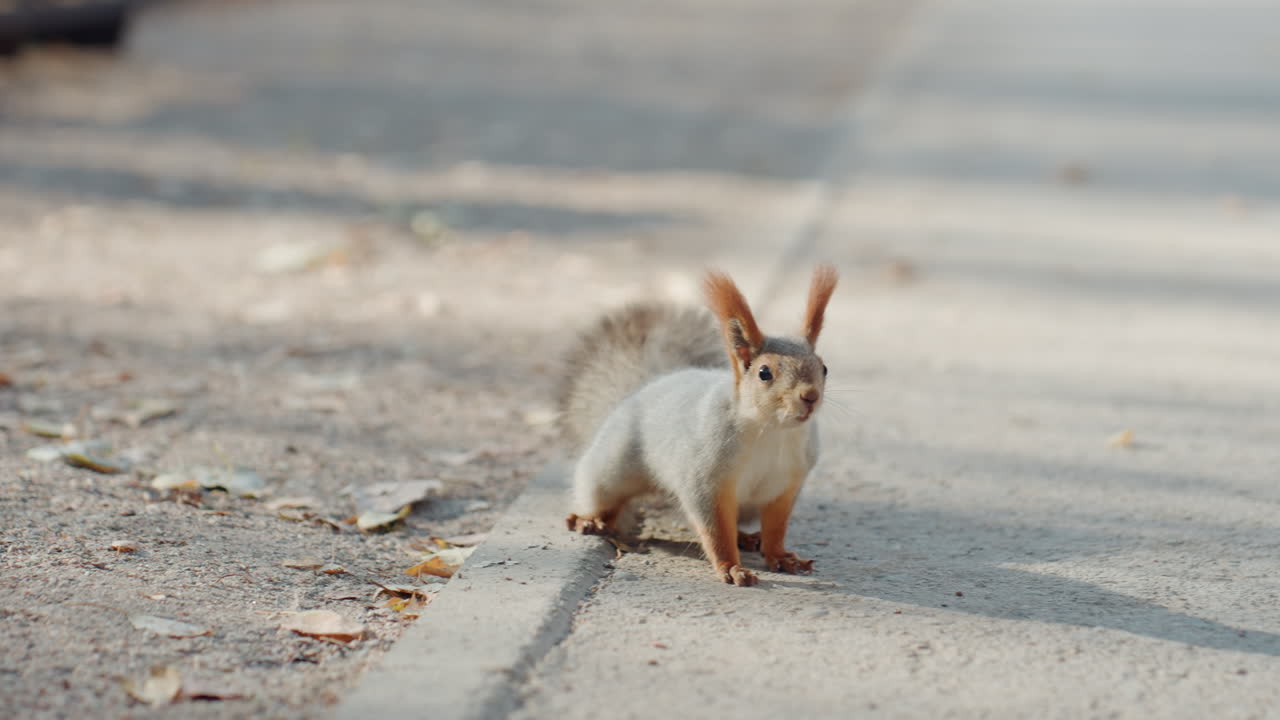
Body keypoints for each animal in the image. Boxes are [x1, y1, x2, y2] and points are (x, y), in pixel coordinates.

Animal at [556, 265, 838, 586]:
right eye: (764, 373)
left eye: (824, 368)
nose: (810, 396)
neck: (773, 431)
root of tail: (646, 387)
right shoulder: (705, 477)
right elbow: (715, 529)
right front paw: (731, 567)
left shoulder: (785, 484)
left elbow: (776, 528)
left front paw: (780, 556)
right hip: (612, 465)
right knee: (600, 491)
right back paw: (590, 519)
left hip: (747, 506)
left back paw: (746, 537)